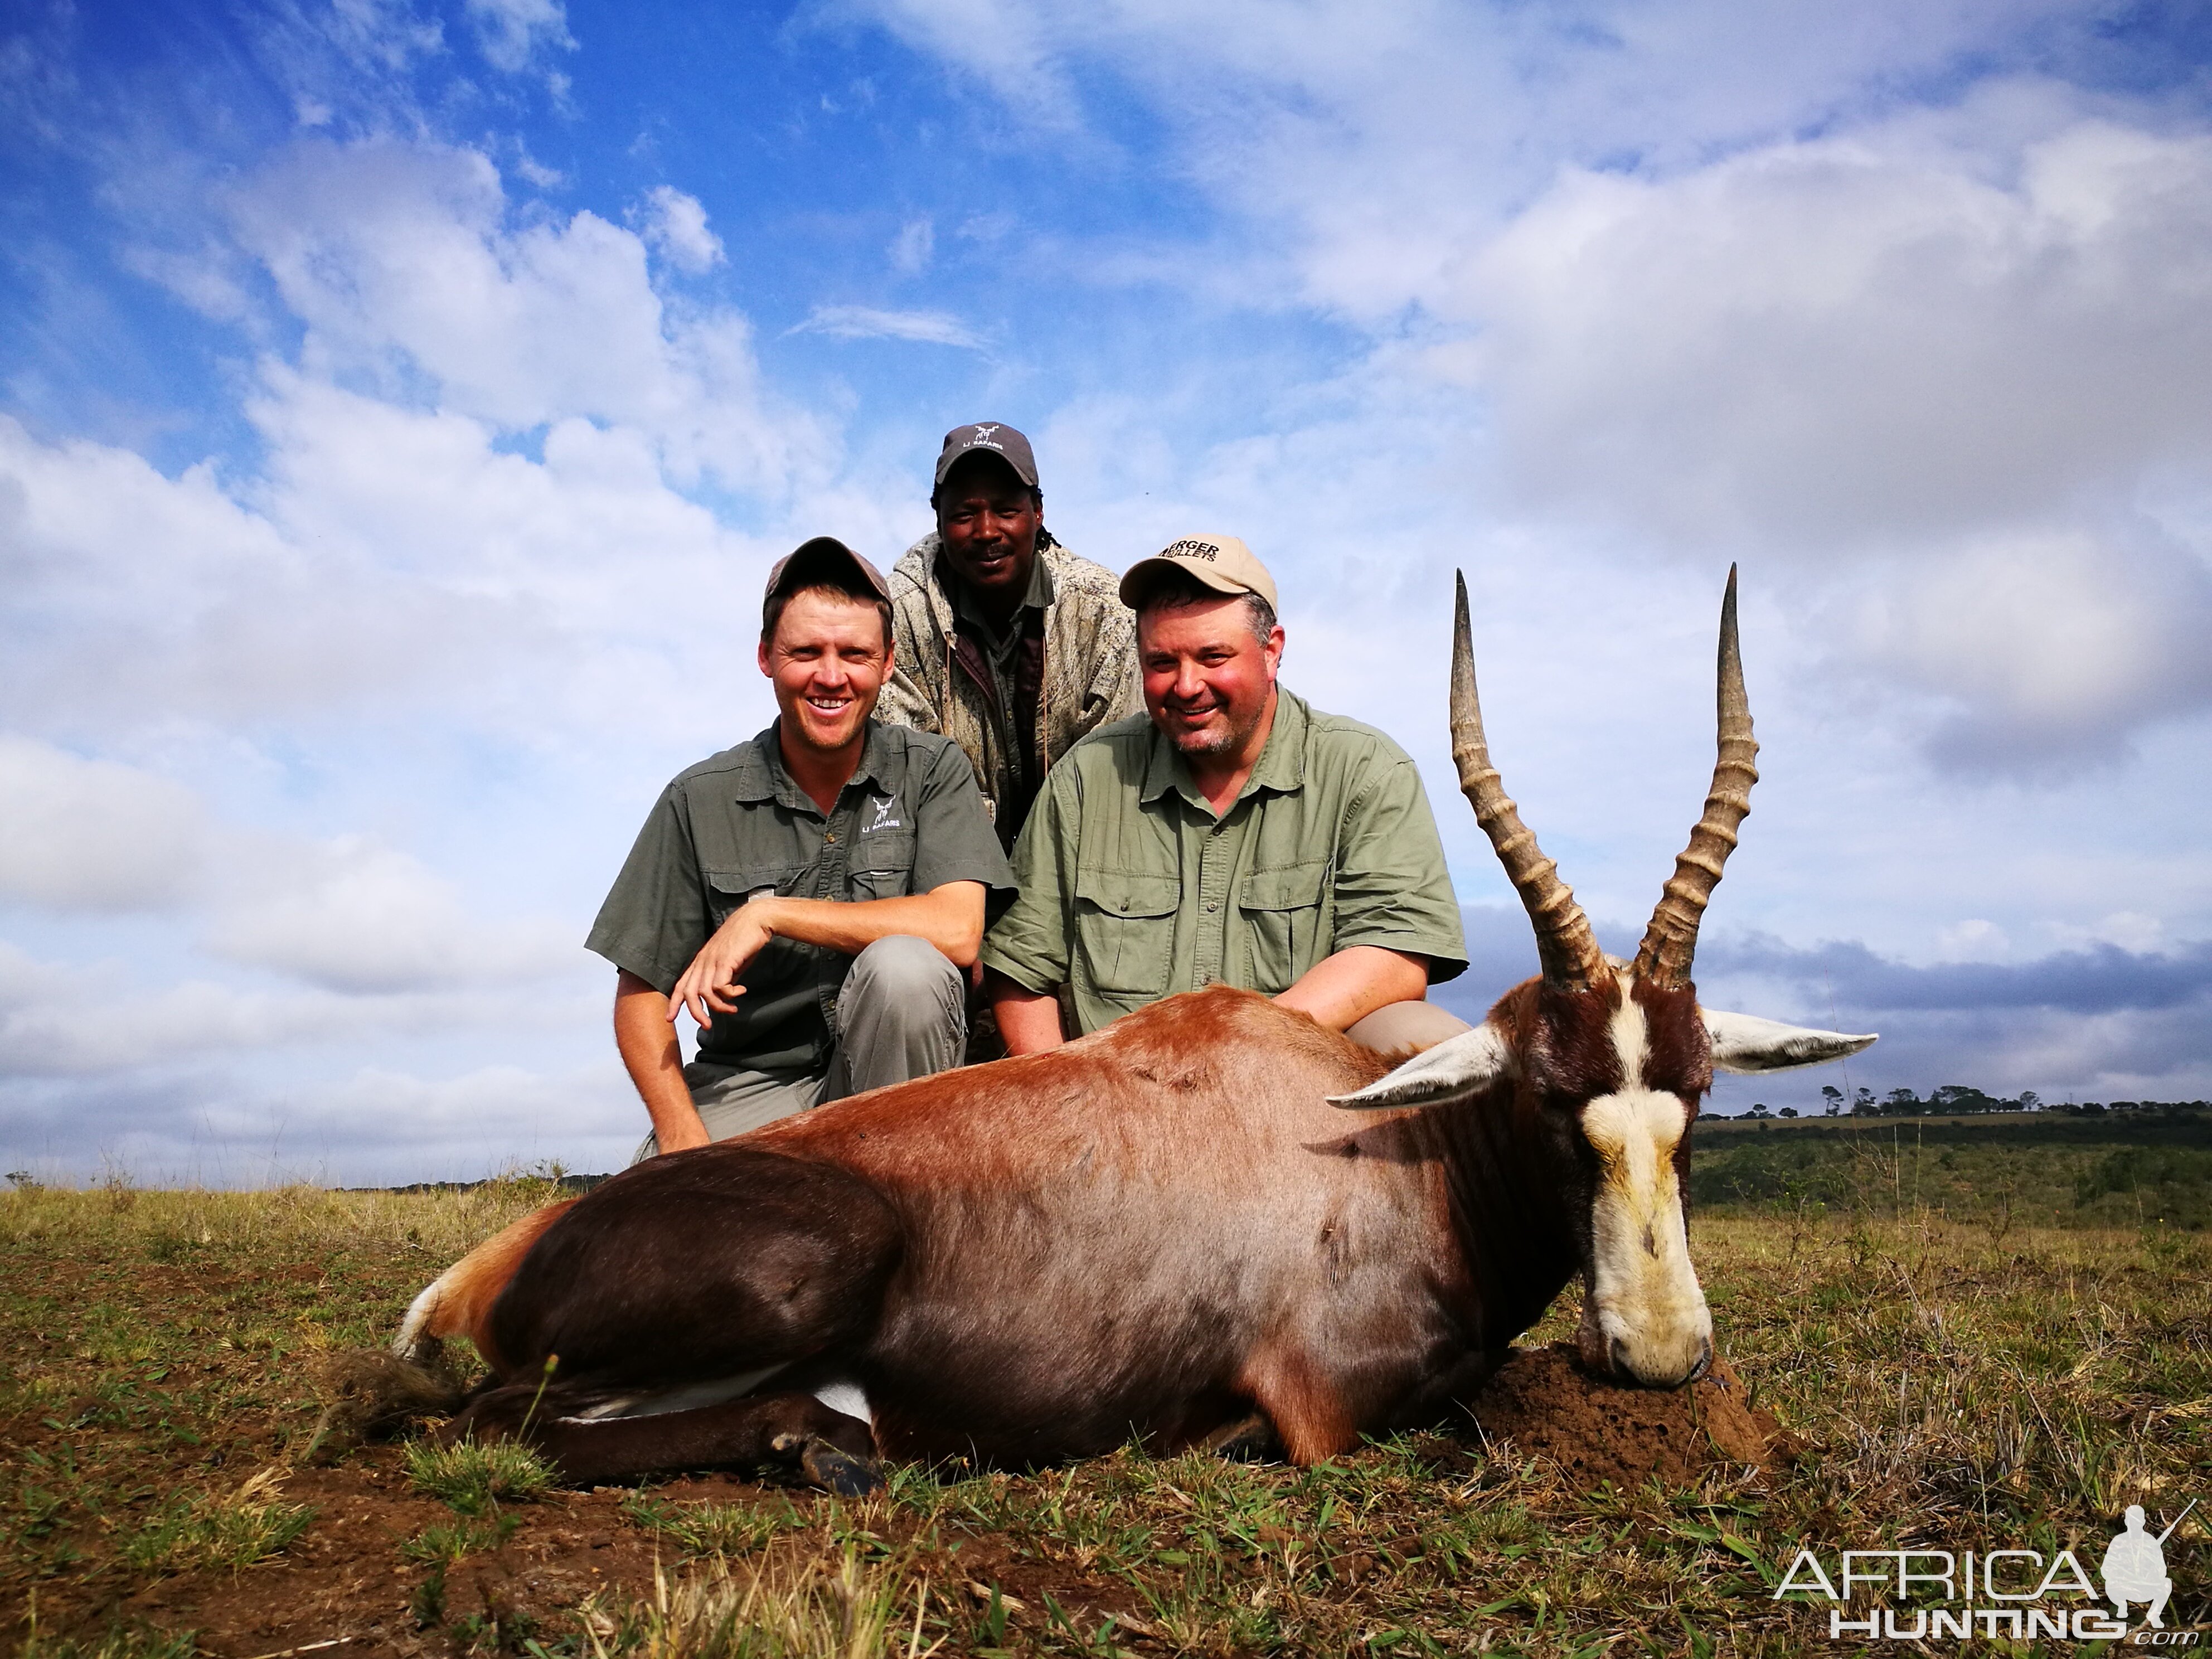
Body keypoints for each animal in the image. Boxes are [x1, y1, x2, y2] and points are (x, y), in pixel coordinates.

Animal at [376, 570, 1866, 1495]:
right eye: (1552, 1099)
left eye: (1693, 1098)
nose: (1661, 1359)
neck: (1386, 1152)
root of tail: (496, 1260)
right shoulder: (1327, 1412)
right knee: (492, 1427)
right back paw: (836, 1449)